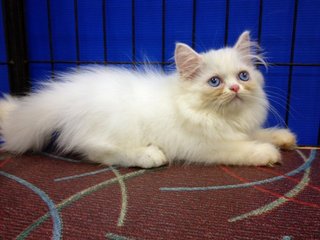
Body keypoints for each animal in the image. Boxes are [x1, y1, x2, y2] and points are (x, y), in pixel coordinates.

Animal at [0, 31, 296, 168]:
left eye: (243, 76)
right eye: (215, 82)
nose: (235, 88)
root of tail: (69, 95)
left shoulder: (241, 128)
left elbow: (258, 133)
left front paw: (283, 138)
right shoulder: (205, 146)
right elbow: (241, 148)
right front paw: (267, 152)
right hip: (117, 127)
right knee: (97, 151)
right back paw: (150, 156)